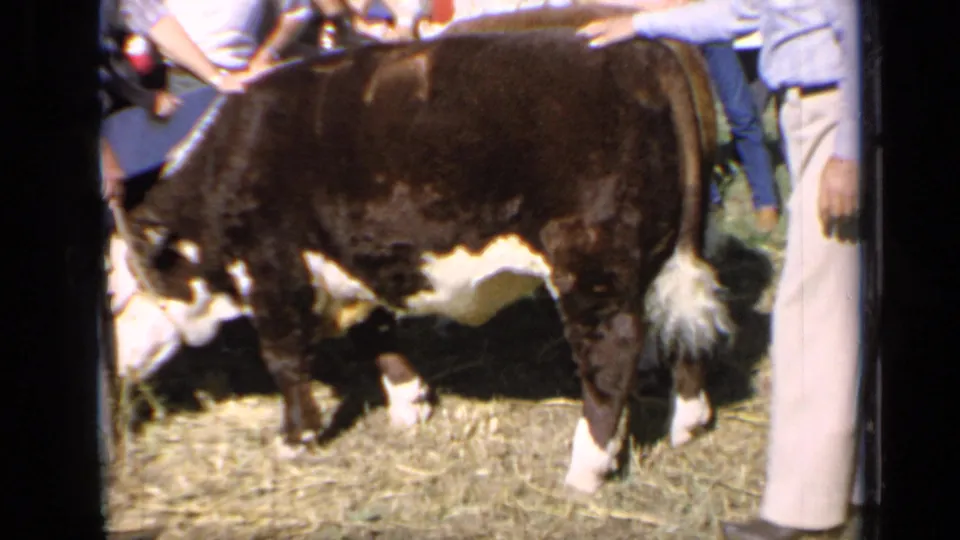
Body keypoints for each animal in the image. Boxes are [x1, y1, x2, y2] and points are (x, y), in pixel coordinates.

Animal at [110, 24, 733, 494]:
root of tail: (641, 48)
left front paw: (296, 438)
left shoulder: (272, 268)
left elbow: (284, 359)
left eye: (112, 296)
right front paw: (410, 405)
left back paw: (586, 469)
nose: (113, 369)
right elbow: (376, 334)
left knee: (613, 350)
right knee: (685, 328)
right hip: (672, 248)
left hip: (591, 263)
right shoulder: (358, 259)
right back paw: (689, 421)